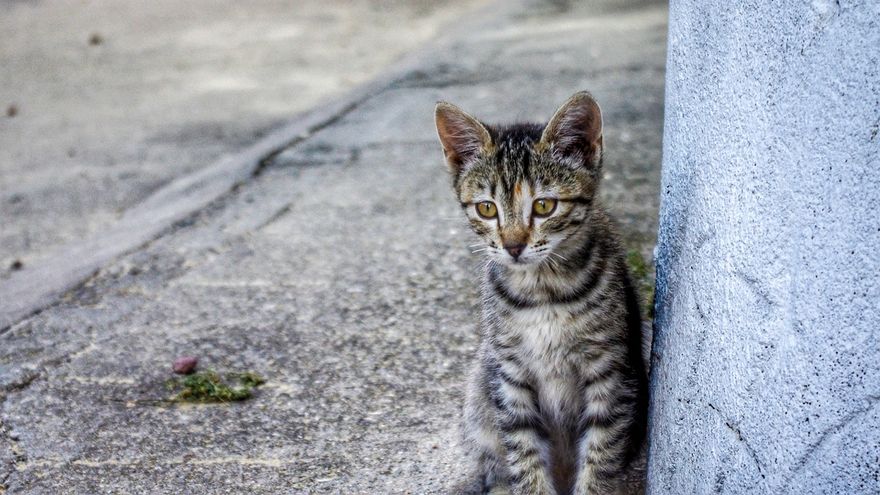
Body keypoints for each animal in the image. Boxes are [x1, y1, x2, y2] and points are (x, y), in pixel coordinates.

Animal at [434, 91, 648, 495]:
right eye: (487, 209)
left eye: (544, 205)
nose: (513, 246)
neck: (542, 292)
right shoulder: (510, 374)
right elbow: (524, 452)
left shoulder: (609, 370)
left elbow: (601, 451)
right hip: (481, 389)